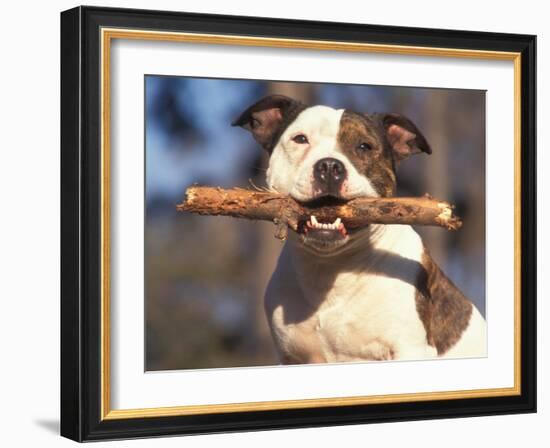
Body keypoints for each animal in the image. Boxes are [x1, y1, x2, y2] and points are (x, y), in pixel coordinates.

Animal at [233, 94, 488, 364]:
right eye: (300, 139)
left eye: (364, 146)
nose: (329, 166)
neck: (331, 267)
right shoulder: (292, 356)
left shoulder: (410, 348)